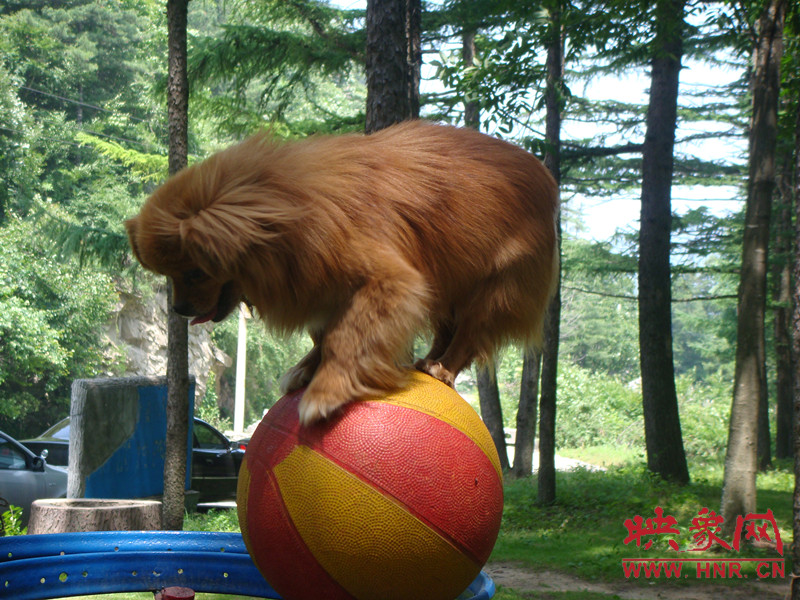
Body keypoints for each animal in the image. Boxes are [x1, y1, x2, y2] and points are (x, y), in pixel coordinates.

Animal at [128, 119, 560, 424]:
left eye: (194, 273)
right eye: (170, 276)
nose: (179, 309)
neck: (291, 211)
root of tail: (546, 179)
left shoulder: (391, 284)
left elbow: (345, 338)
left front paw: (325, 392)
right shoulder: (325, 289)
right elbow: (324, 335)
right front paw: (306, 368)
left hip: (494, 287)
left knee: (468, 334)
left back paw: (442, 368)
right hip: (446, 283)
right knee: (446, 329)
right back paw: (427, 362)